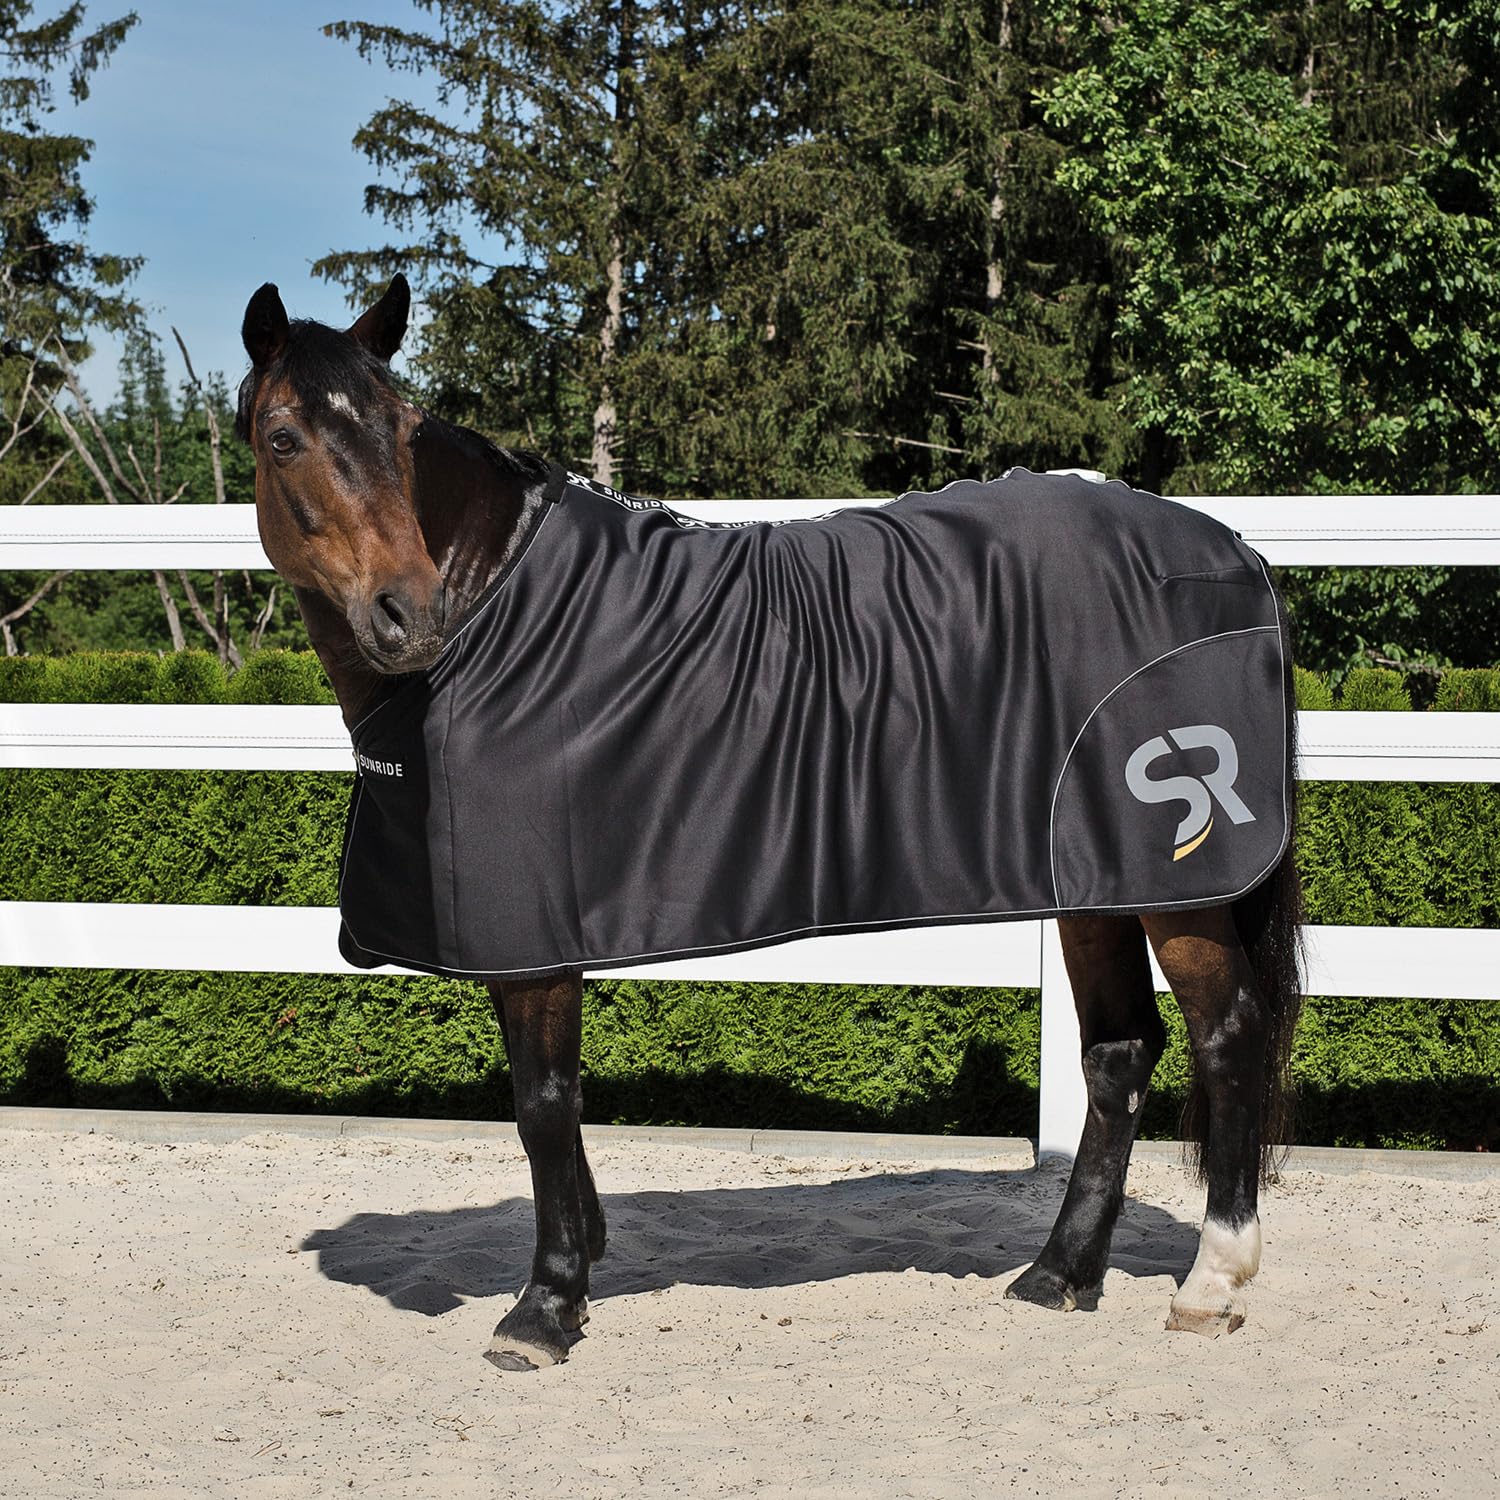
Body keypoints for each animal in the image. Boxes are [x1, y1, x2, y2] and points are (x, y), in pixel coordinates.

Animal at [237, 274, 1303, 1372]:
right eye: (283, 437)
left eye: (405, 430)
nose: (405, 613)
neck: (497, 614)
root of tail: (1232, 552)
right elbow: (555, 1111)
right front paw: (582, 1260)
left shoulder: (533, 937)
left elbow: (542, 1105)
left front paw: (545, 1303)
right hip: (1092, 874)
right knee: (1119, 1053)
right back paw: (1059, 1274)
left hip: (1176, 881)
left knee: (1227, 1032)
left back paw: (1211, 1282)